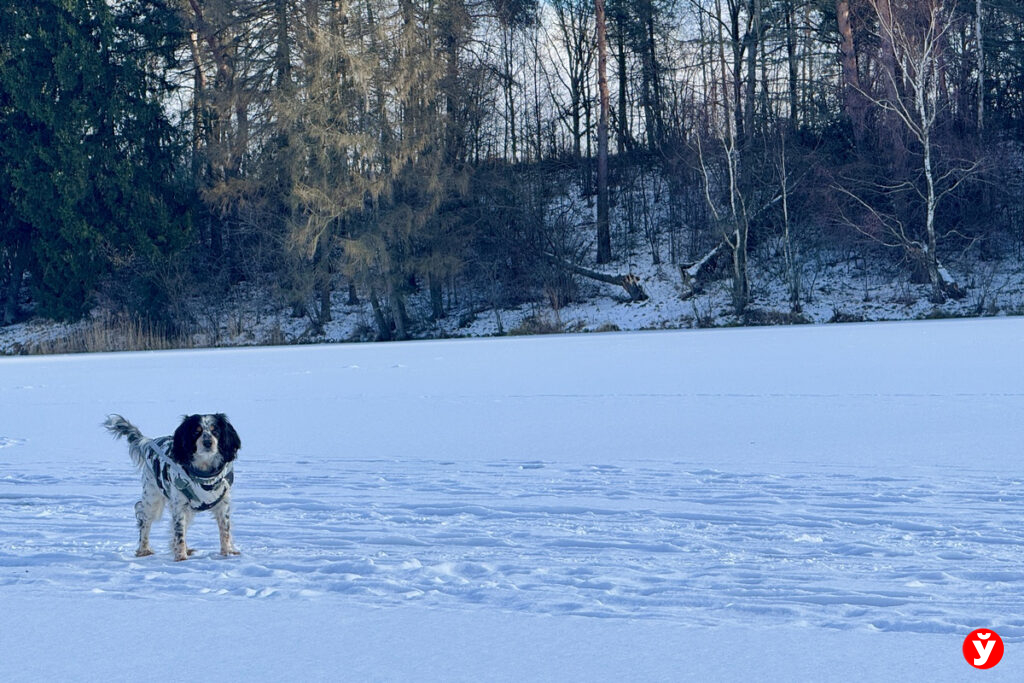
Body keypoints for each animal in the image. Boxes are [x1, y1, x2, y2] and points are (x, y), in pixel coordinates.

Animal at [105, 411, 241, 561]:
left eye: (215, 430)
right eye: (196, 431)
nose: (207, 442)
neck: (204, 473)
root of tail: (149, 442)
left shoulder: (222, 503)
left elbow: (225, 531)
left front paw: (228, 553)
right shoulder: (179, 505)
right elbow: (179, 533)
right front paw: (181, 558)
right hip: (152, 500)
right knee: (144, 522)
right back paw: (144, 550)